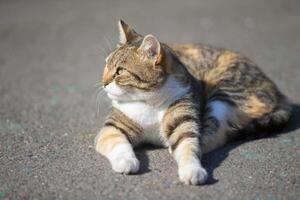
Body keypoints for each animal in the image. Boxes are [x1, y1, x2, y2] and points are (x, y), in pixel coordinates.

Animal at [95, 19, 292, 185]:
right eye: (106, 65)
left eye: (120, 71)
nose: (103, 83)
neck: (149, 101)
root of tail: (278, 92)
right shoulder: (113, 127)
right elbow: (118, 143)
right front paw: (126, 161)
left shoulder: (184, 119)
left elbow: (188, 145)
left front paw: (192, 170)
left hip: (223, 92)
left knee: (217, 133)